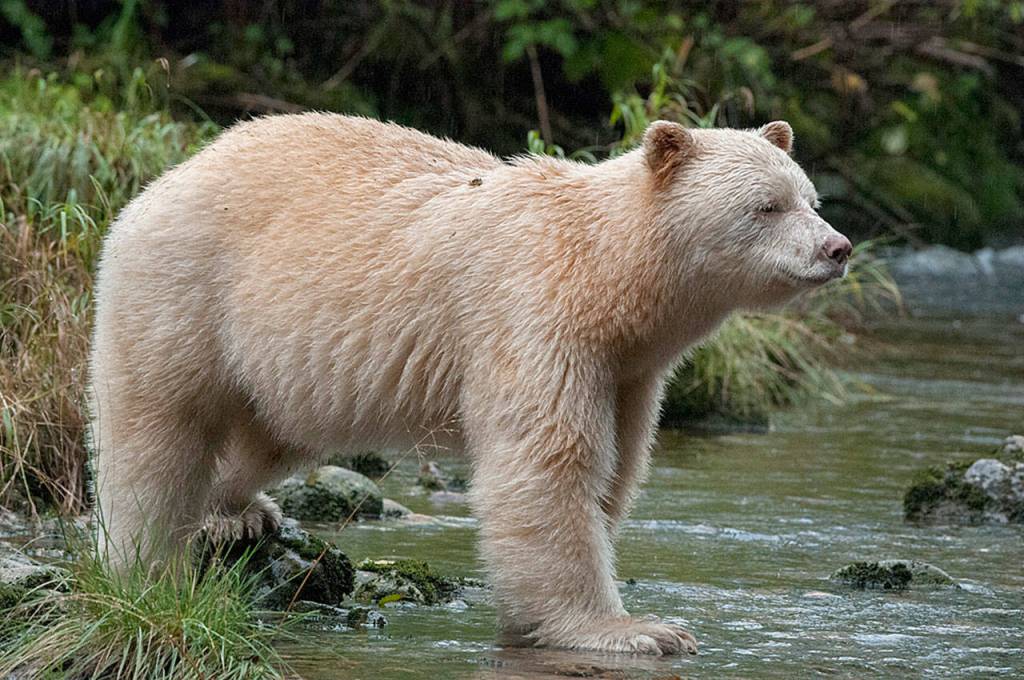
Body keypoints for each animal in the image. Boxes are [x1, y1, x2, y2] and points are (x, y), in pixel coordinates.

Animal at [88, 114, 851, 656]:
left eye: (810, 198)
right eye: (766, 206)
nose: (837, 248)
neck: (610, 276)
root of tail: (163, 180)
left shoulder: (627, 371)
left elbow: (616, 469)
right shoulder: (535, 315)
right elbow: (549, 464)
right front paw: (634, 630)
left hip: (281, 352)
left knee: (270, 431)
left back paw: (236, 509)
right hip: (186, 291)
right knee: (158, 432)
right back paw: (143, 565)